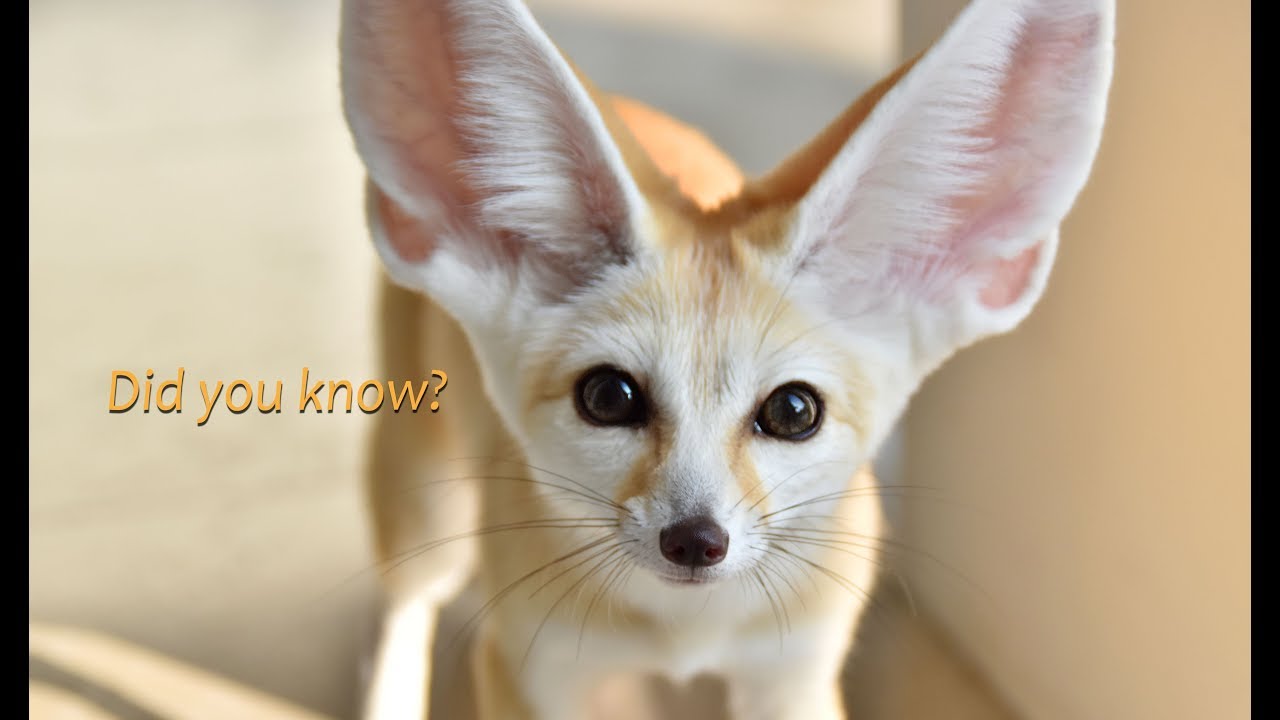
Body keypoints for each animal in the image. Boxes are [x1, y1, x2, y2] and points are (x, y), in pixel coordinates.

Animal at [339, 0, 1114, 717]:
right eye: (609, 398)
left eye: (794, 411)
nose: (694, 541)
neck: (687, 632)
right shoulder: (531, 668)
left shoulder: (794, 676)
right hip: (424, 498)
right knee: (407, 603)